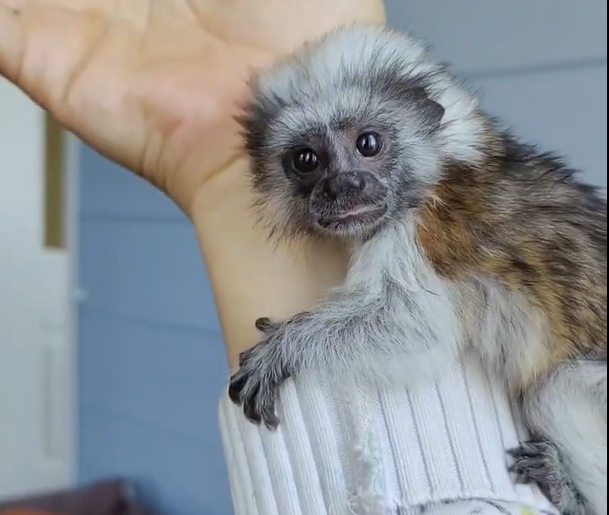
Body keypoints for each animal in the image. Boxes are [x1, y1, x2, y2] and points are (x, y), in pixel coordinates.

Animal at [227, 24, 604, 515]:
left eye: (368, 144)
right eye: (306, 160)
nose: (344, 185)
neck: (435, 173)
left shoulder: (418, 230)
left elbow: (415, 328)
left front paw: (285, 348)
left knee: (555, 389)